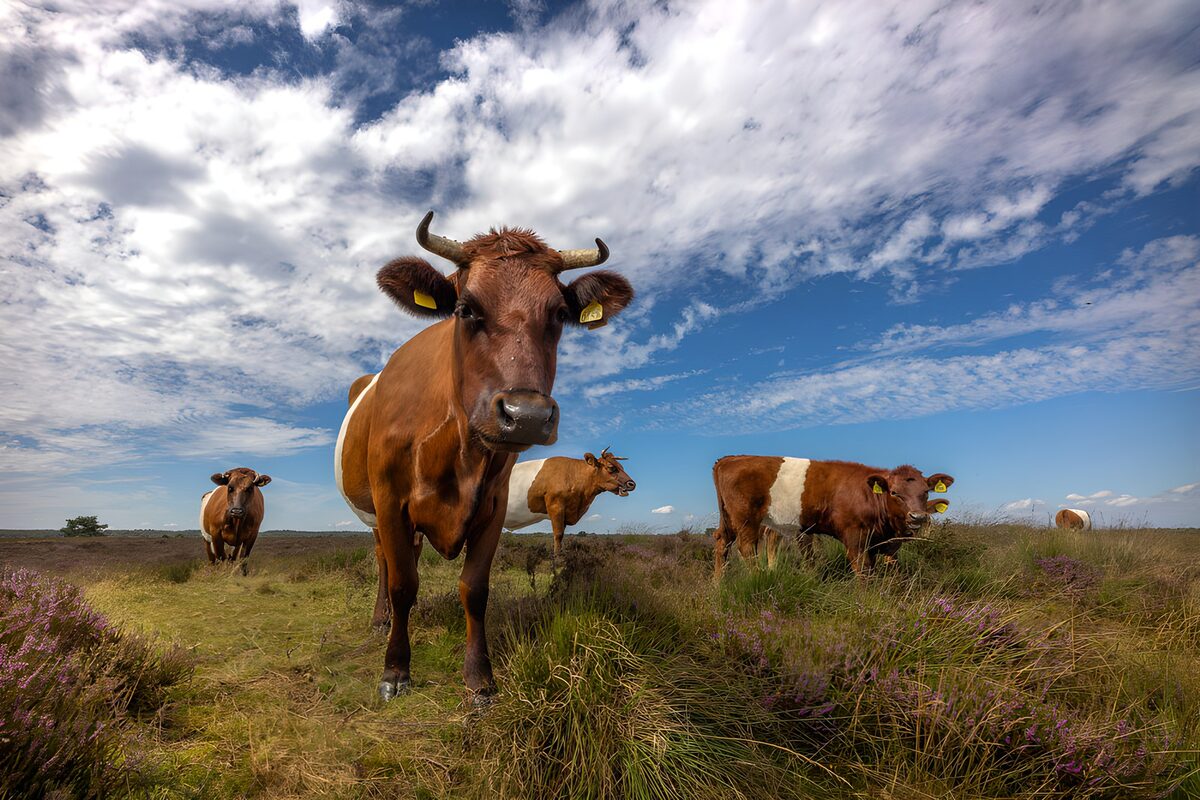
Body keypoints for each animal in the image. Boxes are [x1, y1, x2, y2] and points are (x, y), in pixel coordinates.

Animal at [503, 448, 636, 555]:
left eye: (622, 467)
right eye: (611, 467)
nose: (632, 484)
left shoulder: (566, 512)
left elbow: (562, 535)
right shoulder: (556, 506)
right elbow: (558, 535)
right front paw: (557, 559)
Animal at [712, 456, 953, 578]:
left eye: (926, 492)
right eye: (894, 493)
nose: (917, 517)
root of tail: (730, 458)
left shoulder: (880, 544)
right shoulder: (855, 538)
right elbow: (863, 570)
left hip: (729, 519)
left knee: (722, 542)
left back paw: (718, 585)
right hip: (746, 518)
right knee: (747, 547)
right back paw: (759, 579)